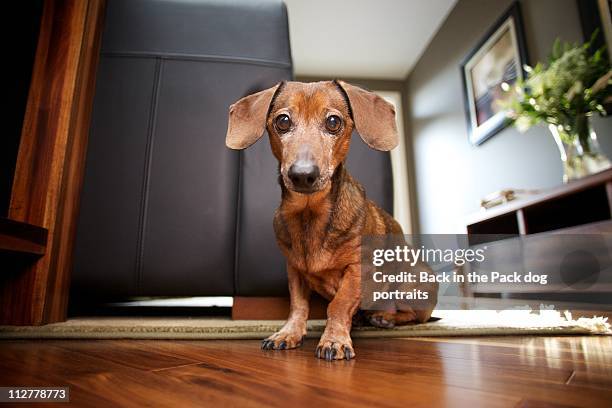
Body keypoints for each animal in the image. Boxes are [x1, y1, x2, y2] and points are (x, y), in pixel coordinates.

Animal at [227, 80, 438, 360]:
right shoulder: (295, 271)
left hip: (413, 282)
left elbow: (339, 305)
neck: (310, 214)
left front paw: (334, 340)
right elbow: (298, 306)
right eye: (282, 121)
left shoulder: (358, 269)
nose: (302, 175)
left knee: (414, 316)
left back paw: (384, 317)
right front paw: (288, 333)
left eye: (333, 122)